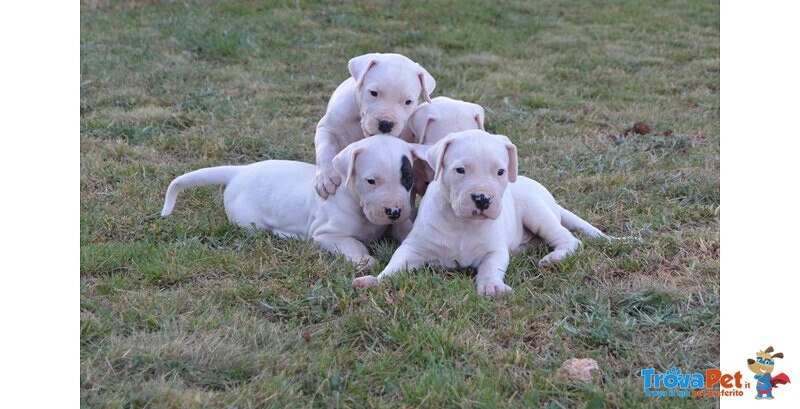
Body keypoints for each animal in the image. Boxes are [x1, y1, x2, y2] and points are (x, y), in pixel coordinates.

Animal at [162, 134, 418, 268]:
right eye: (371, 181)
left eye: (407, 178)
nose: (394, 211)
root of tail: (239, 171)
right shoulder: (326, 235)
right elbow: (352, 244)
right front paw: (365, 260)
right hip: (249, 222)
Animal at [314, 51, 438, 198]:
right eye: (373, 93)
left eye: (408, 102)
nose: (386, 124)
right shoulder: (327, 128)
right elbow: (325, 148)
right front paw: (326, 178)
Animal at [354, 129, 608, 294]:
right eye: (460, 170)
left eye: (500, 172)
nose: (482, 199)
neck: (462, 223)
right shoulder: (413, 248)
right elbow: (395, 265)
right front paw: (375, 280)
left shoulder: (494, 251)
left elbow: (490, 267)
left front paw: (491, 286)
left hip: (537, 212)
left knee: (570, 240)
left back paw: (554, 259)